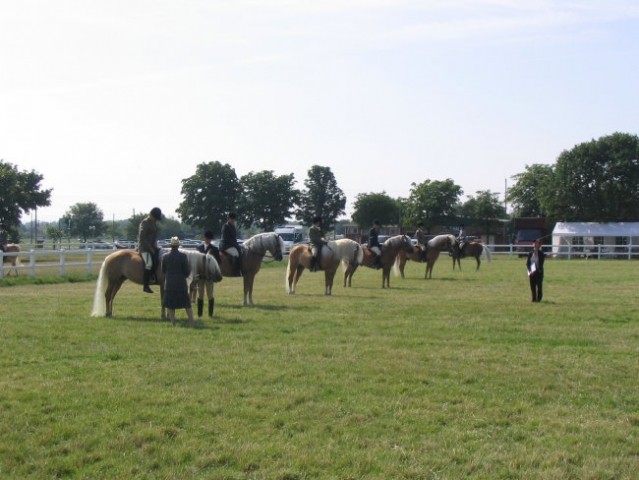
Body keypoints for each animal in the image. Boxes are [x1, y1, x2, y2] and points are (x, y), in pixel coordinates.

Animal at [91, 248, 222, 318]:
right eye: (212, 264)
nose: (220, 277)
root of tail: (109, 256)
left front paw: (167, 315)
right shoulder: (163, 285)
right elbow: (163, 300)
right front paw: (165, 316)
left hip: (119, 281)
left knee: (112, 296)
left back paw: (110, 312)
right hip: (113, 281)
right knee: (108, 296)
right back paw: (107, 313)